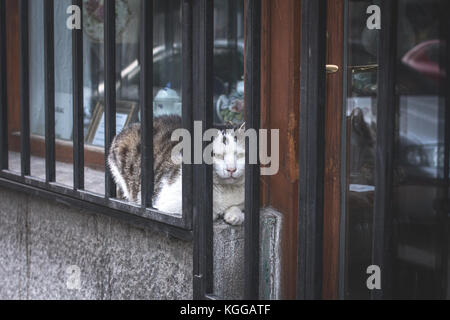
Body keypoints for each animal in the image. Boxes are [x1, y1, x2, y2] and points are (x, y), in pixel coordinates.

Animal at [107, 115, 246, 225]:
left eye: (239, 155)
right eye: (218, 155)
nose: (231, 169)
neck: (225, 190)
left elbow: (238, 206)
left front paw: (234, 215)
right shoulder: (169, 206)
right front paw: (216, 213)